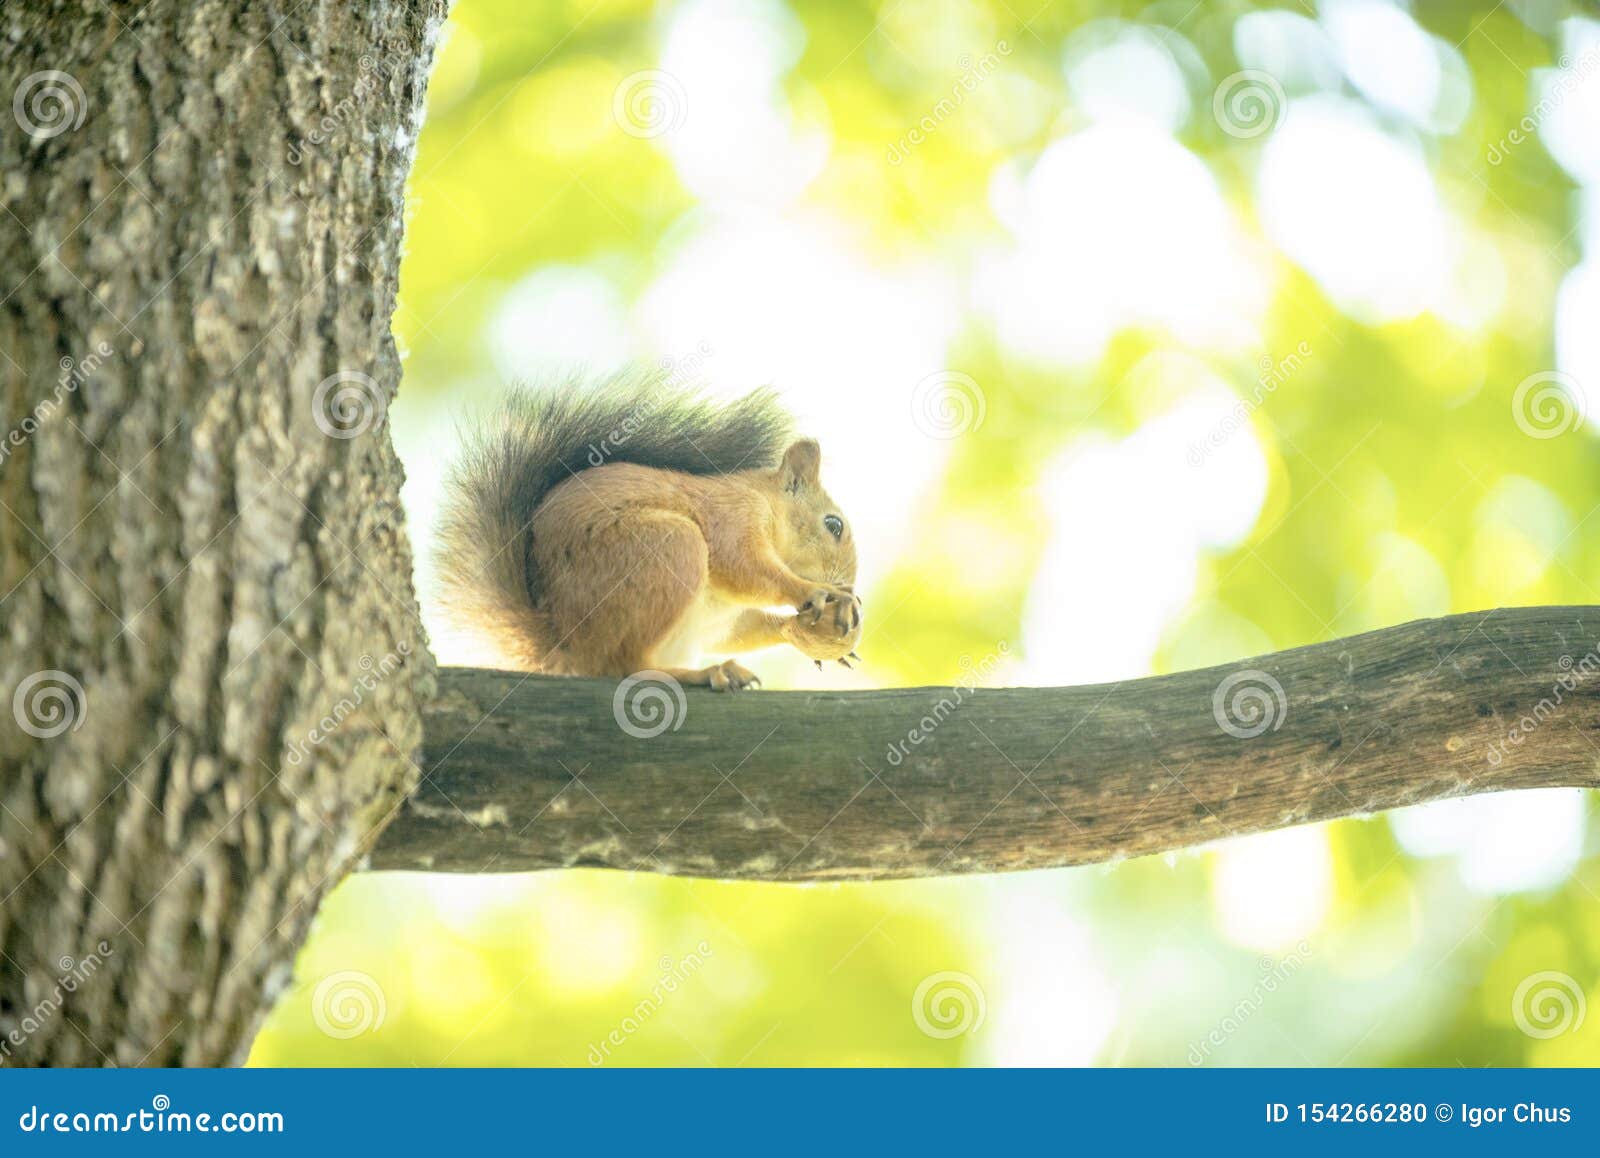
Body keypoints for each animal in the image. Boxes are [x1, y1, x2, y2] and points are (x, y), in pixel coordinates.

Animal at [434, 368, 862, 691]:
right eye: (833, 524)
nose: (847, 583)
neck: (766, 501)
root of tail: (564, 644)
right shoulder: (732, 514)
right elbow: (743, 564)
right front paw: (814, 590)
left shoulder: (720, 619)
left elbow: (740, 628)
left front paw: (803, 630)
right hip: (669, 548)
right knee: (625, 667)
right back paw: (702, 673)